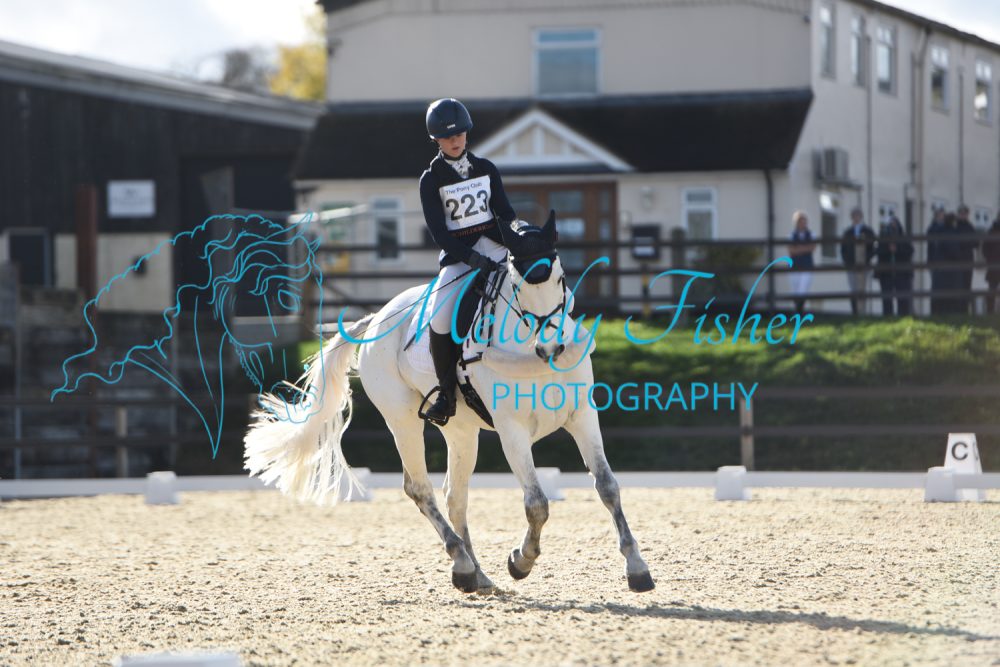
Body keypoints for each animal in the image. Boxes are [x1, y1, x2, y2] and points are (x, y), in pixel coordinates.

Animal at [244, 212, 654, 594]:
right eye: (517, 284)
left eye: (560, 278)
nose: (551, 348)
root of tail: (377, 318)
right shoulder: (513, 431)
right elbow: (536, 503)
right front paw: (521, 561)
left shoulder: (582, 417)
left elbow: (607, 486)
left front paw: (637, 568)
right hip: (403, 420)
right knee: (419, 488)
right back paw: (462, 564)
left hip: (462, 431)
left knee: (455, 496)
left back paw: (478, 574)